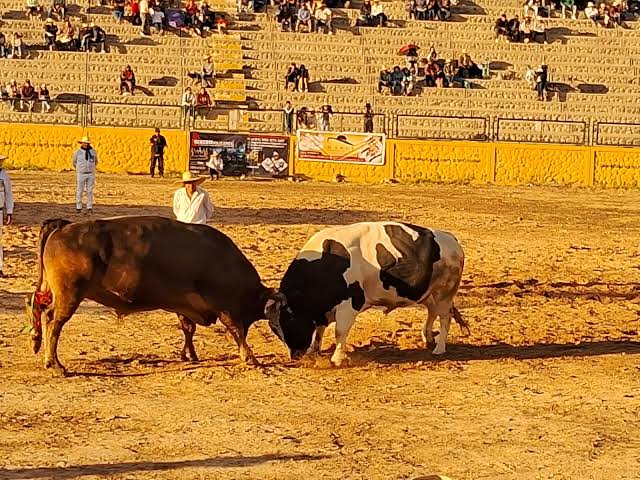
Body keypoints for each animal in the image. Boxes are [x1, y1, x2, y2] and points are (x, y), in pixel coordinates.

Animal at [25, 216, 284, 376]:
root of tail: (63, 227)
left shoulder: (184, 304)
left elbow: (188, 328)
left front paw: (189, 355)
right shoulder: (224, 305)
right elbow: (236, 329)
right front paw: (250, 357)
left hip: (51, 290)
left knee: (35, 304)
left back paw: (36, 340)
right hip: (69, 295)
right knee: (53, 321)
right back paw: (54, 364)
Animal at [268, 223, 468, 366]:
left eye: (289, 321)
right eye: (274, 328)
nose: (295, 355)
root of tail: (450, 238)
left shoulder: (350, 303)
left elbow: (340, 331)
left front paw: (336, 359)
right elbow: (319, 329)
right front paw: (314, 350)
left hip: (444, 293)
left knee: (445, 318)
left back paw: (439, 348)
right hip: (430, 294)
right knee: (432, 312)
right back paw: (427, 337)